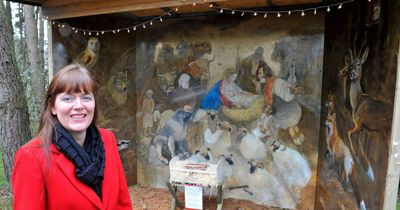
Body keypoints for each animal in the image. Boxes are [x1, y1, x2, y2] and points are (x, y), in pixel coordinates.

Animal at [340, 43, 392, 182]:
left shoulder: (359, 123)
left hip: (386, 130)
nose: (352, 74)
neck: (357, 101)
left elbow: (349, 133)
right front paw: (366, 167)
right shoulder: (366, 129)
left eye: (359, 64)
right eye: (350, 65)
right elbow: (362, 146)